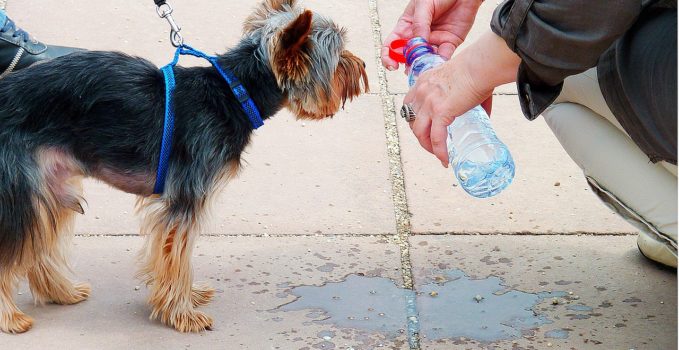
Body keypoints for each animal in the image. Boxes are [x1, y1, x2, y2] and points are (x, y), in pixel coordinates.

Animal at [0, 0, 370, 334]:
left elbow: (173, 259)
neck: (234, 92)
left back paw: (61, 292)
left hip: (51, 184)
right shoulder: (185, 200)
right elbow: (177, 258)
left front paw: (186, 299)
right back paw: (12, 318)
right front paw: (183, 314)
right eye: (339, 58)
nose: (363, 65)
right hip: (21, 183)